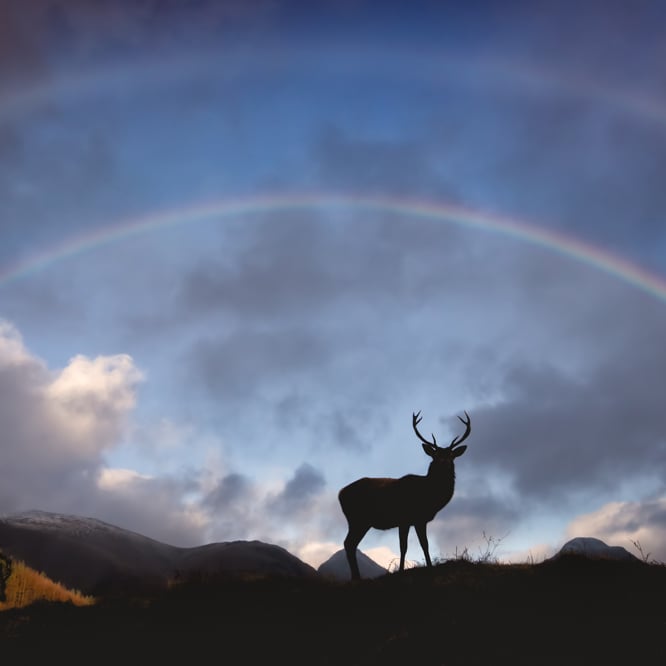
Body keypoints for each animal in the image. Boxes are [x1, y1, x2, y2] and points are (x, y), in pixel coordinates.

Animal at [338, 410, 470, 580]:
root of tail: (340, 493)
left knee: (350, 544)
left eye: (451, 455)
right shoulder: (408, 518)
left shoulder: (417, 520)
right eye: (435, 455)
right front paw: (404, 570)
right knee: (348, 543)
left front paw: (426, 566)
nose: (444, 462)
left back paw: (357, 577)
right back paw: (357, 577)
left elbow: (421, 544)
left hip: (359, 522)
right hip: (357, 519)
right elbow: (408, 546)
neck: (431, 496)